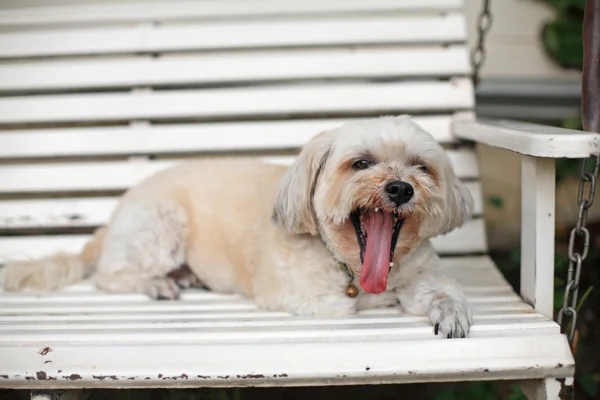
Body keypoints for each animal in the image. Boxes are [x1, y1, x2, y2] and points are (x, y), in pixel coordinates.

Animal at [2, 115, 476, 338]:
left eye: (421, 167)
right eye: (360, 163)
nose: (399, 188)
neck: (352, 269)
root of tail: (114, 217)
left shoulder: (422, 270)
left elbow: (440, 289)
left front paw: (449, 310)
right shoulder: (300, 295)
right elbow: (351, 306)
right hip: (160, 223)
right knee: (110, 276)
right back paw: (158, 282)